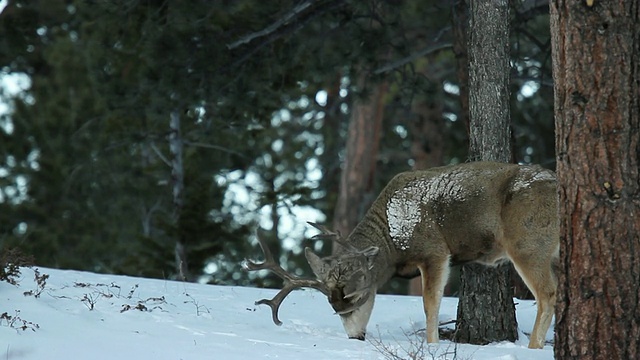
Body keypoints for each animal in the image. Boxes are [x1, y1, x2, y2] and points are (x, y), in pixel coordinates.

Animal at [245, 161, 560, 348]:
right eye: (333, 308)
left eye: (357, 297)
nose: (356, 337)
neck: (392, 244)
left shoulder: (434, 250)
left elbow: (430, 304)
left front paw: (432, 345)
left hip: (528, 242)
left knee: (548, 293)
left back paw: (533, 346)